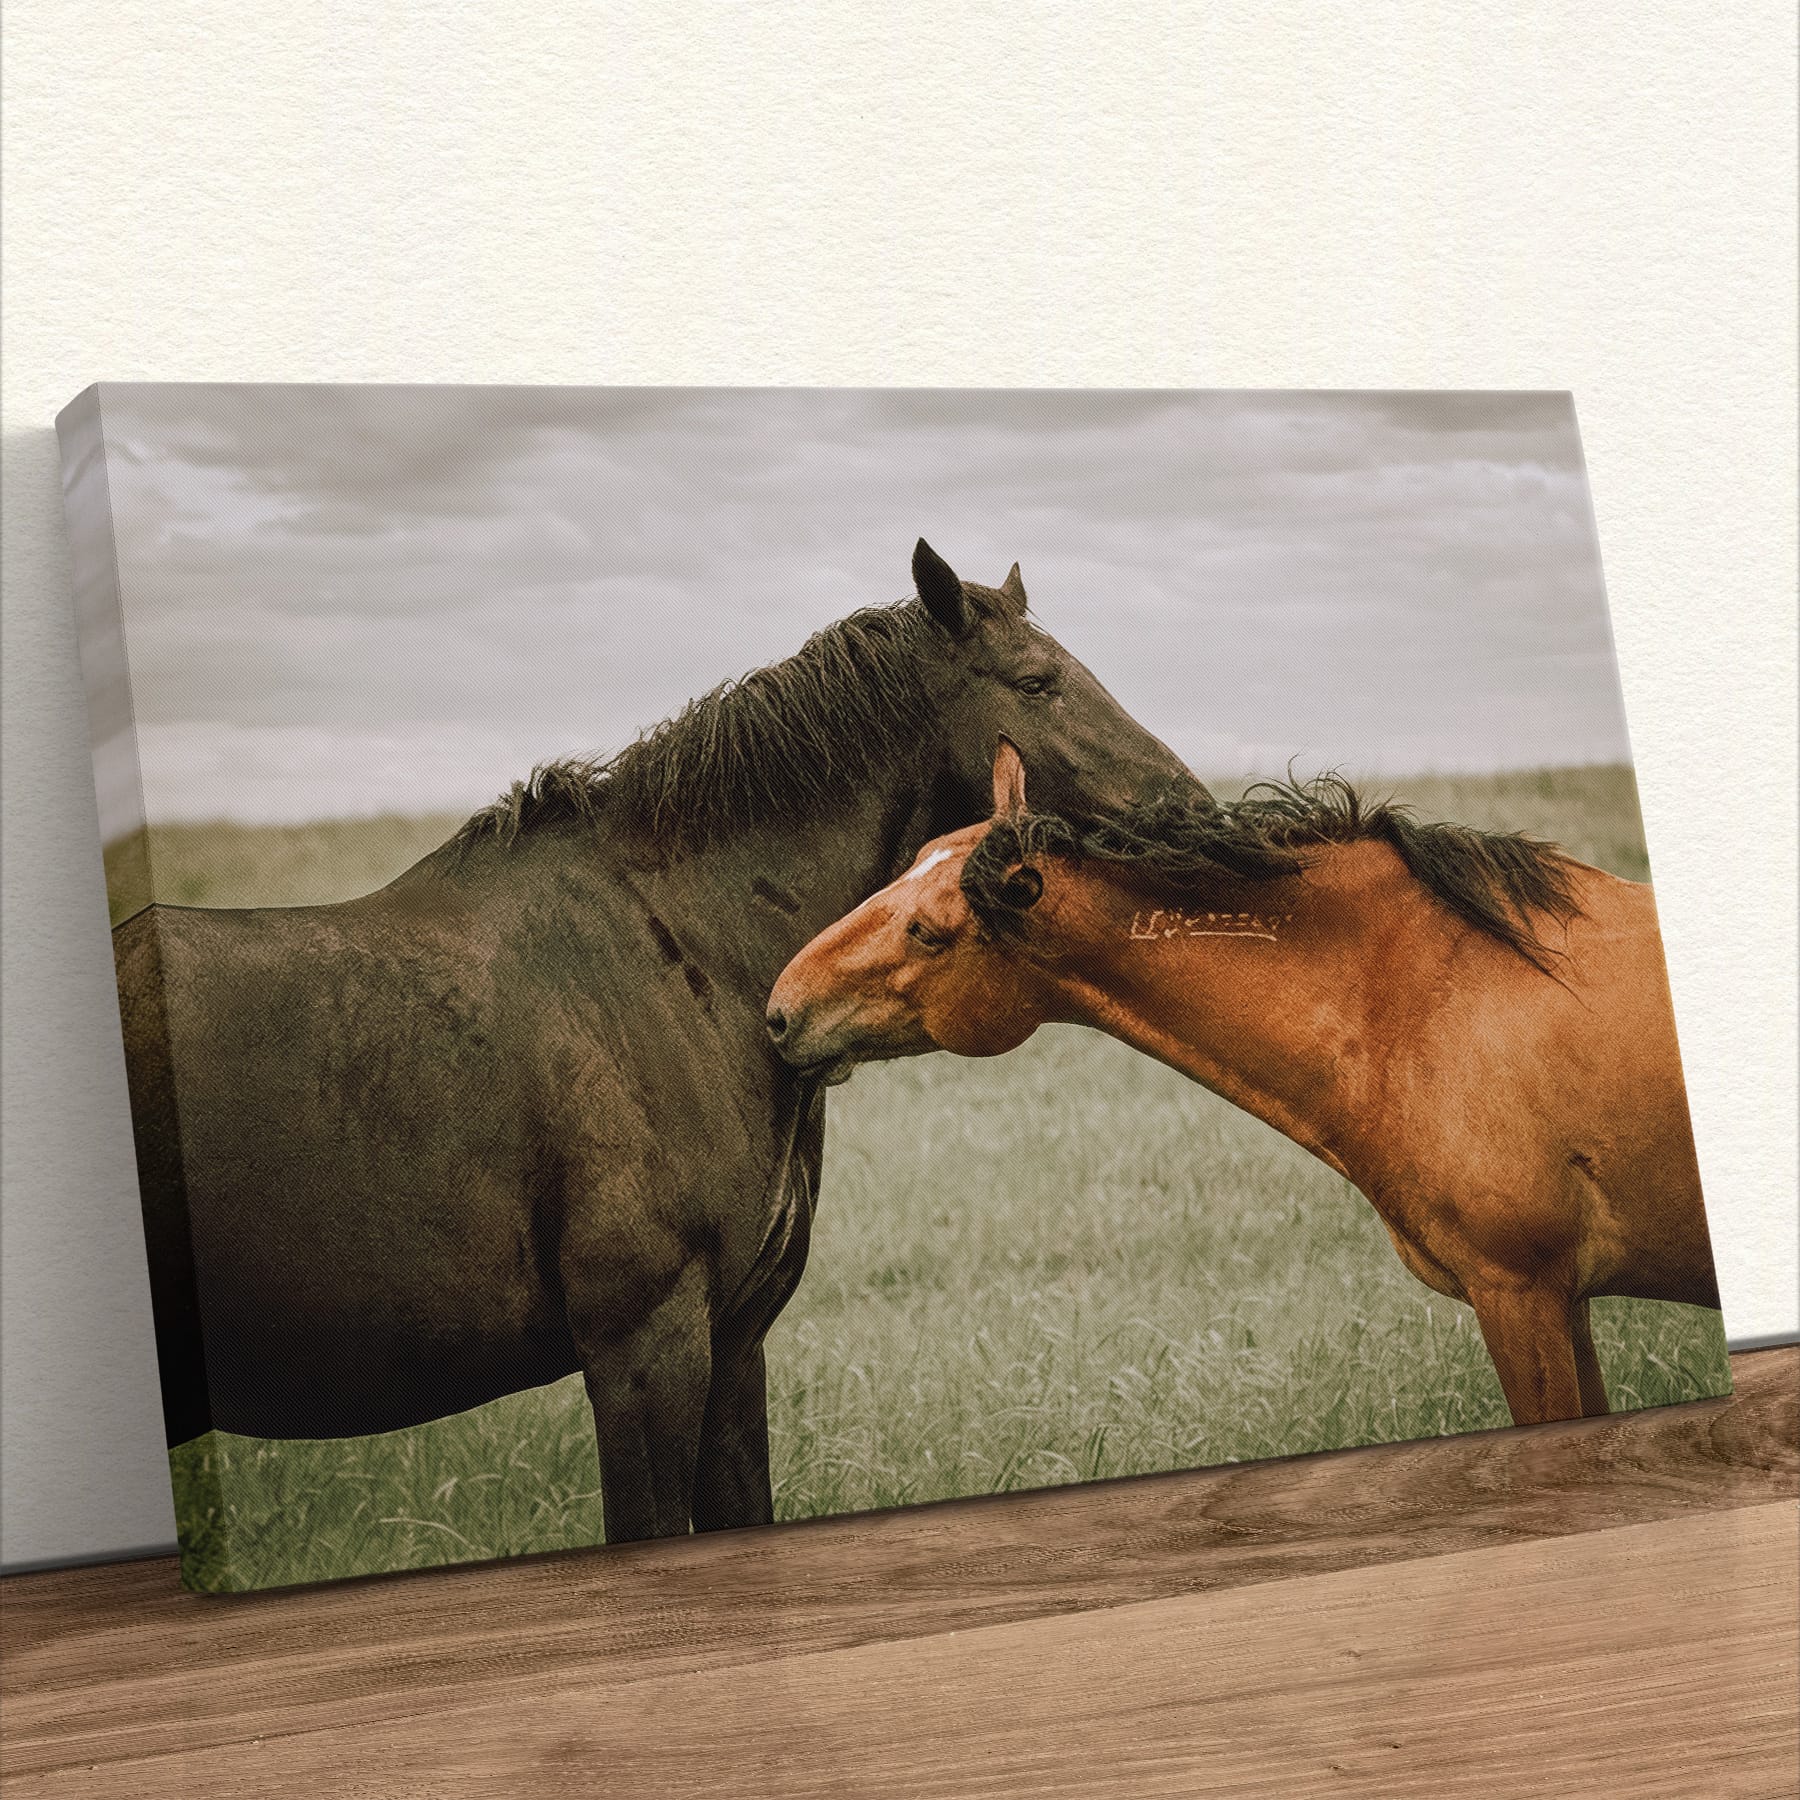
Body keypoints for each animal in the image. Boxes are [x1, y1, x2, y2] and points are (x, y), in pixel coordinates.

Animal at [766, 742, 1722, 1428]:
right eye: (914, 858)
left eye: (929, 932)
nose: (778, 1011)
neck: (1418, 995)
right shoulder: (1566, 1304)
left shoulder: (1522, 1296)